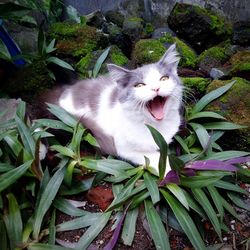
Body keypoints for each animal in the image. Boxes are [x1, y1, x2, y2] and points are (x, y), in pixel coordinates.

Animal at [54, 44, 183, 175]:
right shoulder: (123, 147)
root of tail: (65, 92)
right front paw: (169, 170)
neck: (154, 126)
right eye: (139, 85)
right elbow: (152, 156)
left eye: (164, 79)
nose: (156, 88)